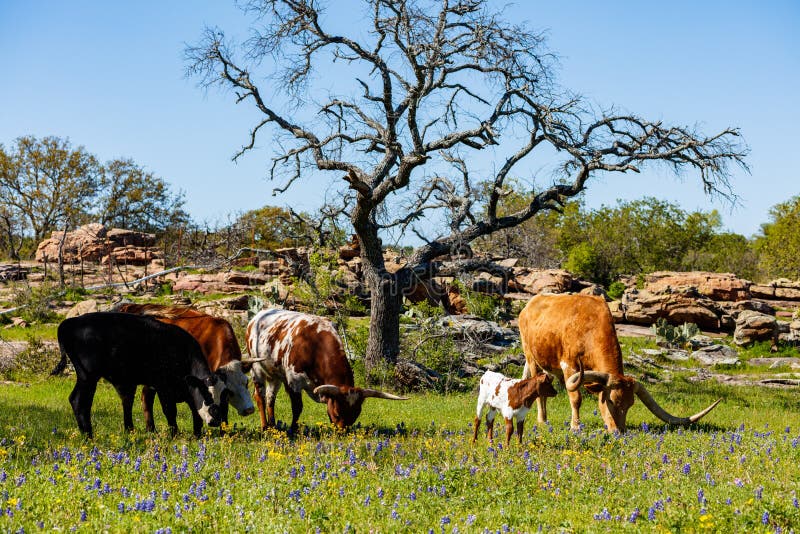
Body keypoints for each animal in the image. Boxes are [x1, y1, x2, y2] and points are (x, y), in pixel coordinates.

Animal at [52, 314, 228, 440]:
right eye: (206, 395)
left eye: (222, 398)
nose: (216, 420)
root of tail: (70, 322)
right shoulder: (162, 385)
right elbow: (170, 411)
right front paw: (174, 434)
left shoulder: (187, 390)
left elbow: (195, 412)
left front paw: (197, 435)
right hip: (88, 376)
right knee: (79, 401)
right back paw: (88, 436)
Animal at [115, 304, 260, 434]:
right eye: (230, 391)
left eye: (246, 383)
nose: (249, 409)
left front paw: (224, 432)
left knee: (146, 397)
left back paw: (151, 429)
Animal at [245, 310, 410, 436]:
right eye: (337, 414)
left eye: (355, 415)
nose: (342, 434)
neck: (314, 345)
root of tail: (256, 318)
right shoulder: (293, 382)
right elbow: (297, 408)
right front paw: (293, 430)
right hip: (257, 369)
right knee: (260, 397)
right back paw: (265, 427)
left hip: (275, 375)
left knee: (270, 398)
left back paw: (273, 427)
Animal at [516, 296, 720, 434]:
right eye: (611, 401)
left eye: (630, 404)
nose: (618, 432)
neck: (589, 327)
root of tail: (531, 303)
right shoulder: (570, 366)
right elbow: (576, 399)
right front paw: (575, 427)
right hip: (531, 357)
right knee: (539, 390)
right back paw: (543, 421)